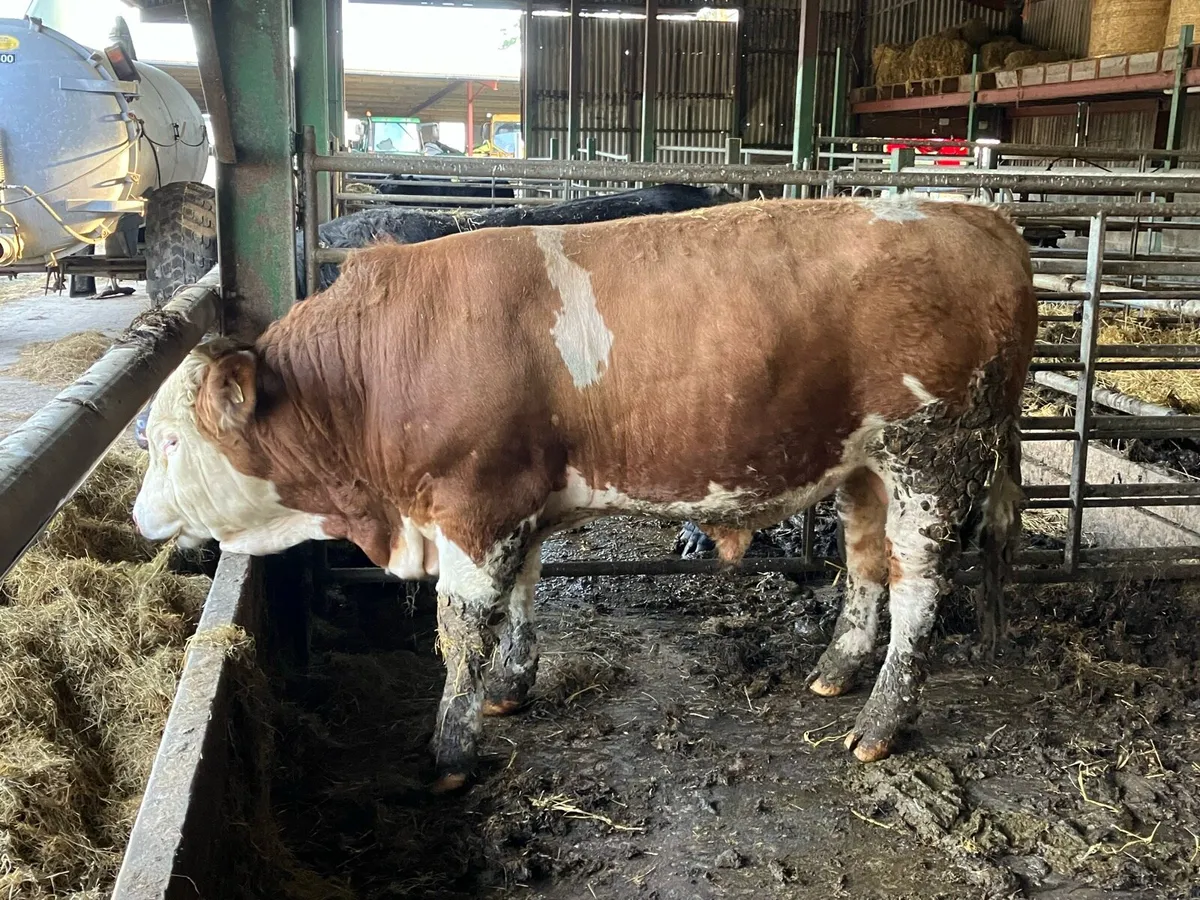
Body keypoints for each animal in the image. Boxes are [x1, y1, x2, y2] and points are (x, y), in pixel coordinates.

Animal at [131, 196, 1037, 793]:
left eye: (170, 438)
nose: (140, 516)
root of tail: (970, 213)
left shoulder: (473, 502)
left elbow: (462, 629)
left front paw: (450, 747)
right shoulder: (516, 501)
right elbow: (524, 595)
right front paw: (510, 686)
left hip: (932, 455)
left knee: (920, 587)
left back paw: (881, 723)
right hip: (865, 468)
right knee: (866, 566)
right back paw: (838, 669)